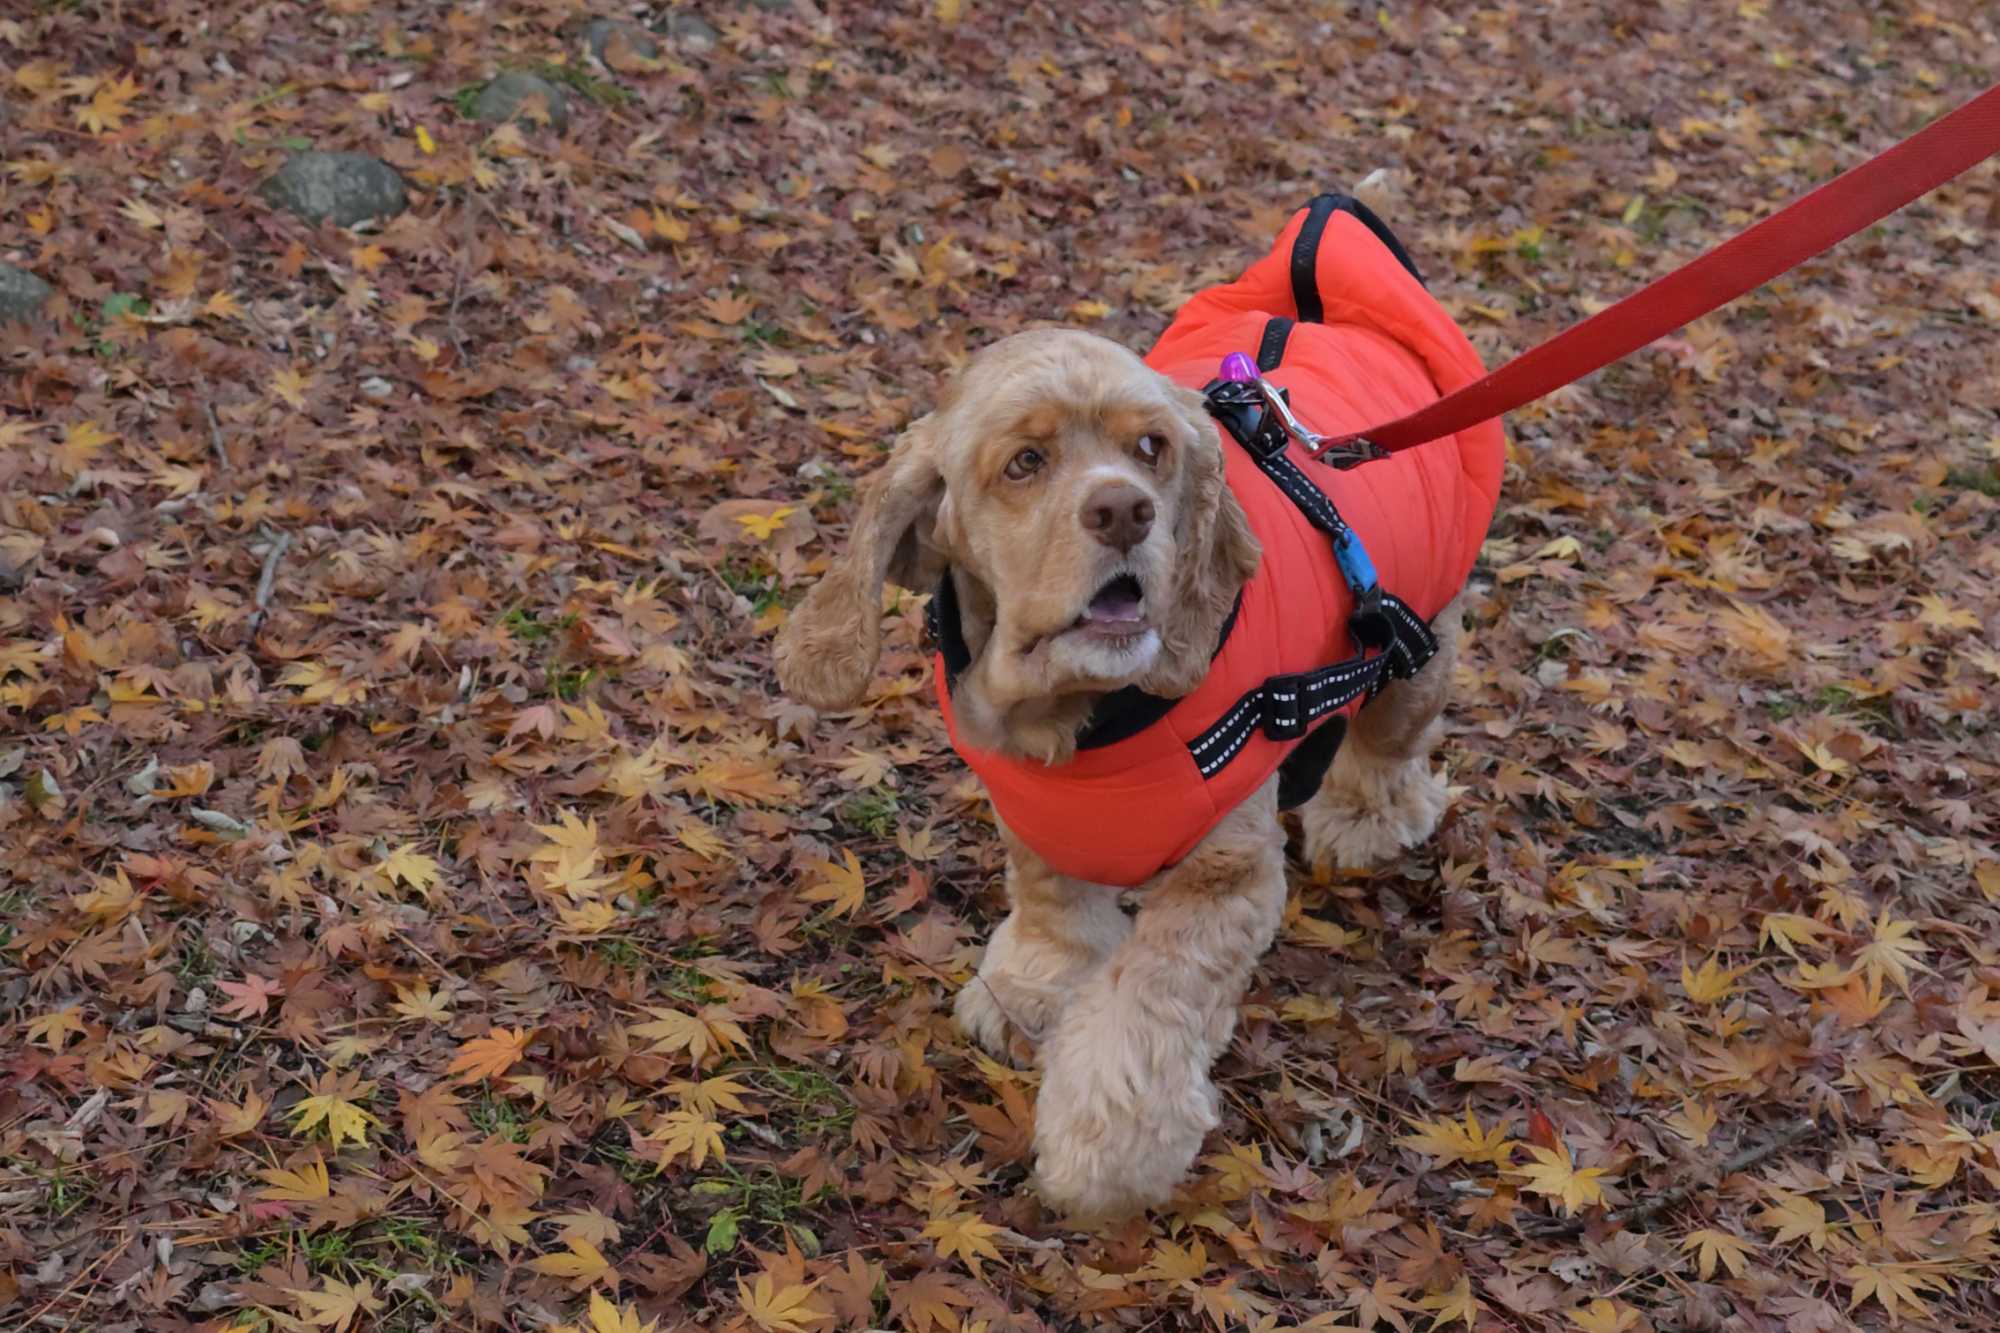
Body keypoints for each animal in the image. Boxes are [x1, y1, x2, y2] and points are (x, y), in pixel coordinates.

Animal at [775, 194, 1505, 1220]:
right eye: (1025, 462)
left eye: (1151, 449)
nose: (1125, 511)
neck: (1079, 724)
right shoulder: (1038, 819)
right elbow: (1054, 910)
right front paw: (1031, 990)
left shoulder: (1224, 877)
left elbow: (1147, 1007)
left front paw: (1105, 1151)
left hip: (1418, 638)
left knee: (1394, 742)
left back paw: (1364, 817)